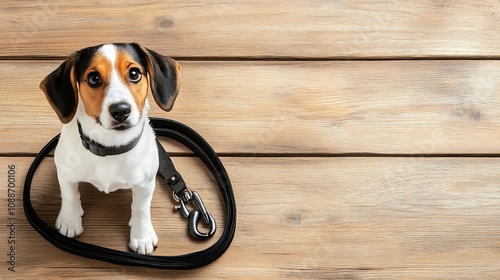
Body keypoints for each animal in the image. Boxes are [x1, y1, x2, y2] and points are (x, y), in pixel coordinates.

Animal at [40, 42, 182, 255]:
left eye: (134, 73)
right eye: (93, 78)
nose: (121, 110)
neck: (110, 147)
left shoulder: (146, 184)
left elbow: (140, 209)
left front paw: (142, 236)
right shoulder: (65, 174)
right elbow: (70, 196)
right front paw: (70, 221)